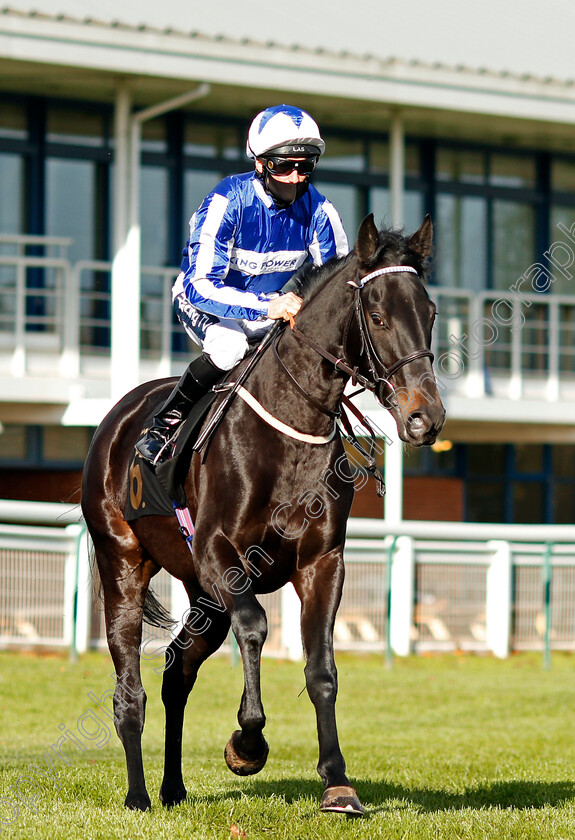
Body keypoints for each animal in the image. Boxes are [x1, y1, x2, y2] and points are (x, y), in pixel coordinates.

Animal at [80, 213, 446, 816]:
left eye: (431, 314)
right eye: (377, 316)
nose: (425, 417)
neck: (290, 429)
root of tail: (116, 419)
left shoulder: (322, 561)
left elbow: (322, 667)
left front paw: (337, 783)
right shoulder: (219, 555)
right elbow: (255, 628)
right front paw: (246, 744)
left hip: (202, 596)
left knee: (177, 670)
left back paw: (173, 788)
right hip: (123, 562)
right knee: (129, 684)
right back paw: (138, 794)